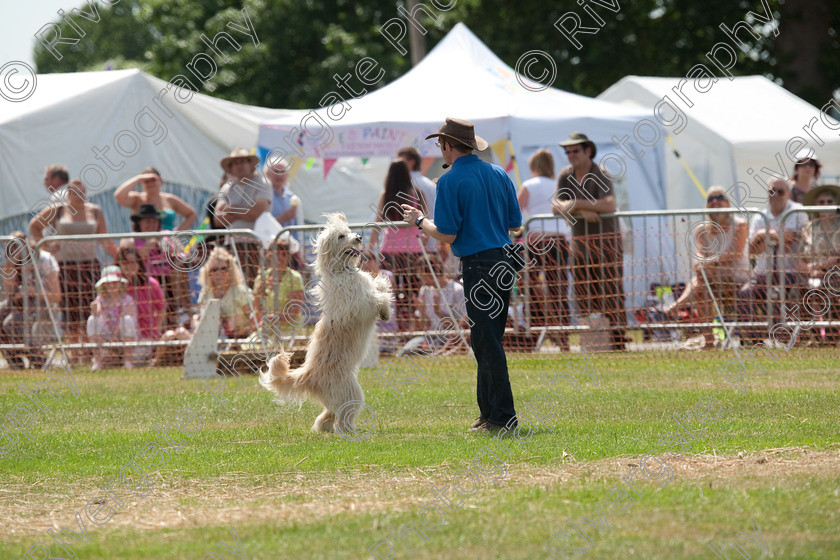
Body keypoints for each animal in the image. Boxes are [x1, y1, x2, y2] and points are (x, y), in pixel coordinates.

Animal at [260, 213, 394, 434]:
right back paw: (349, 431)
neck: (342, 271)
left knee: (328, 415)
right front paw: (385, 309)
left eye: (348, 231)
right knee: (342, 418)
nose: (358, 237)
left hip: (337, 397)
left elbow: (378, 286)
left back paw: (324, 427)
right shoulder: (359, 304)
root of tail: (308, 376)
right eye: (341, 236)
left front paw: (385, 300)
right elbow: (377, 299)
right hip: (350, 392)